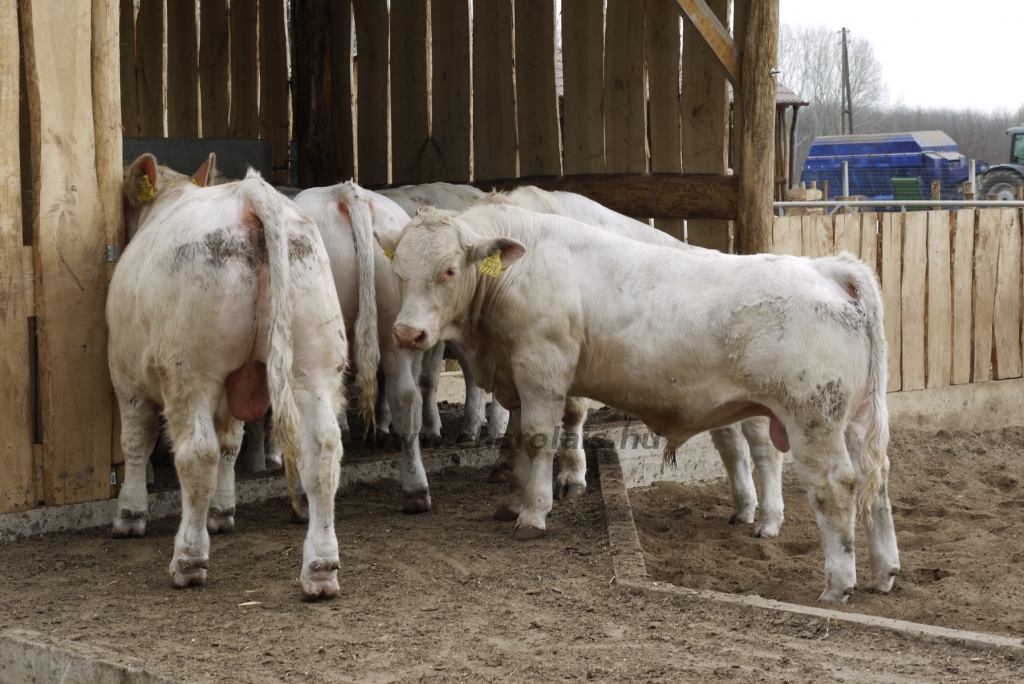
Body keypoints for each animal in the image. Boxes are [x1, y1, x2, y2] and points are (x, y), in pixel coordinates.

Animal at [110, 153, 346, 597]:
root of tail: (248, 193)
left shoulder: (126, 376)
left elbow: (136, 442)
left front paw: (129, 515)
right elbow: (230, 445)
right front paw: (222, 512)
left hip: (189, 370)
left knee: (196, 454)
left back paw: (188, 559)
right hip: (315, 364)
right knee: (323, 451)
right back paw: (320, 568)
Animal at [380, 205, 901, 602]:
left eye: (448, 270)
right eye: (399, 272)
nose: (407, 333)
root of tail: (828, 269)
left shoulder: (542, 368)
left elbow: (536, 439)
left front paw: (532, 514)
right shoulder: (515, 378)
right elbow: (515, 440)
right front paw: (511, 501)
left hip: (812, 418)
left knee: (835, 487)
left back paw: (837, 585)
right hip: (854, 422)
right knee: (875, 483)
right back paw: (883, 573)